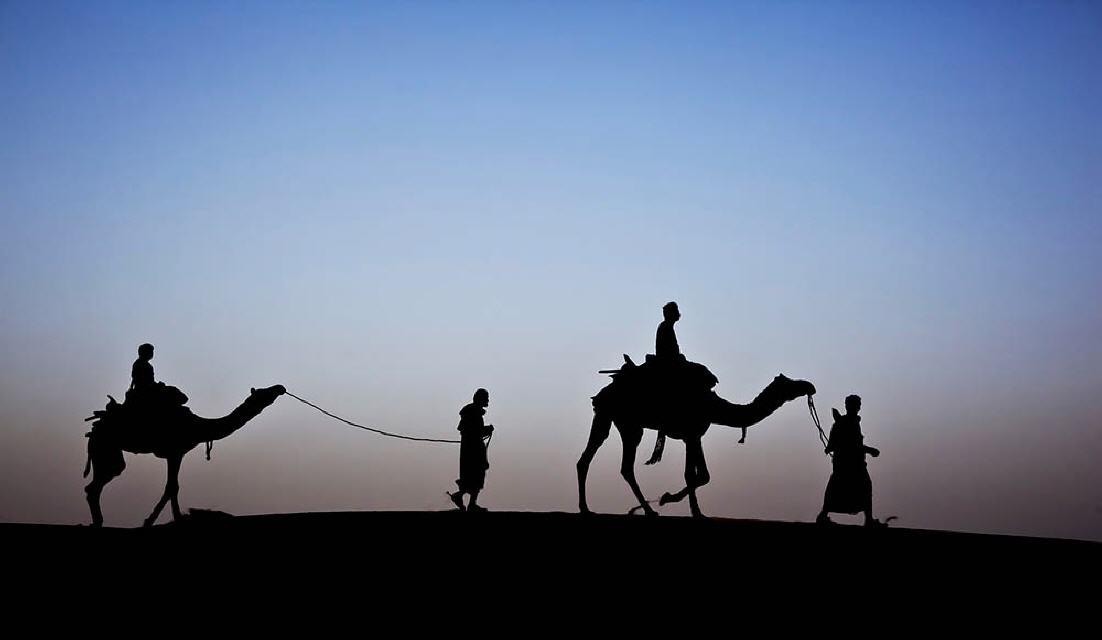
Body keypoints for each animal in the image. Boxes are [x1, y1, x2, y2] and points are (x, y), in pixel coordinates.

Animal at [82, 383, 288, 524]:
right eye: (263, 392)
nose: (280, 387)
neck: (199, 426)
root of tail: (94, 428)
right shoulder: (175, 451)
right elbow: (172, 487)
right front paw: (165, 519)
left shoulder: (179, 453)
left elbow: (172, 486)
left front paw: (162, 519)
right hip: (105, 446)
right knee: (100, 481)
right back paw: (98, 522)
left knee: (96, 484)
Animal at [581, 356, 815, 515]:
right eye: (790, 383)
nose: (809, 385)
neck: (713, 406)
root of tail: (603, 394)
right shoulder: (692, 433)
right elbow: (697, 475)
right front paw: (673, 501)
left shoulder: (693, 435)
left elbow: (697, 475)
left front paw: (689, 508)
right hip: (629, 423)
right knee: (624, 467)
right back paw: (648, 510)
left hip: (608, 417)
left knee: (589, 458)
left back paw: (586, 508)